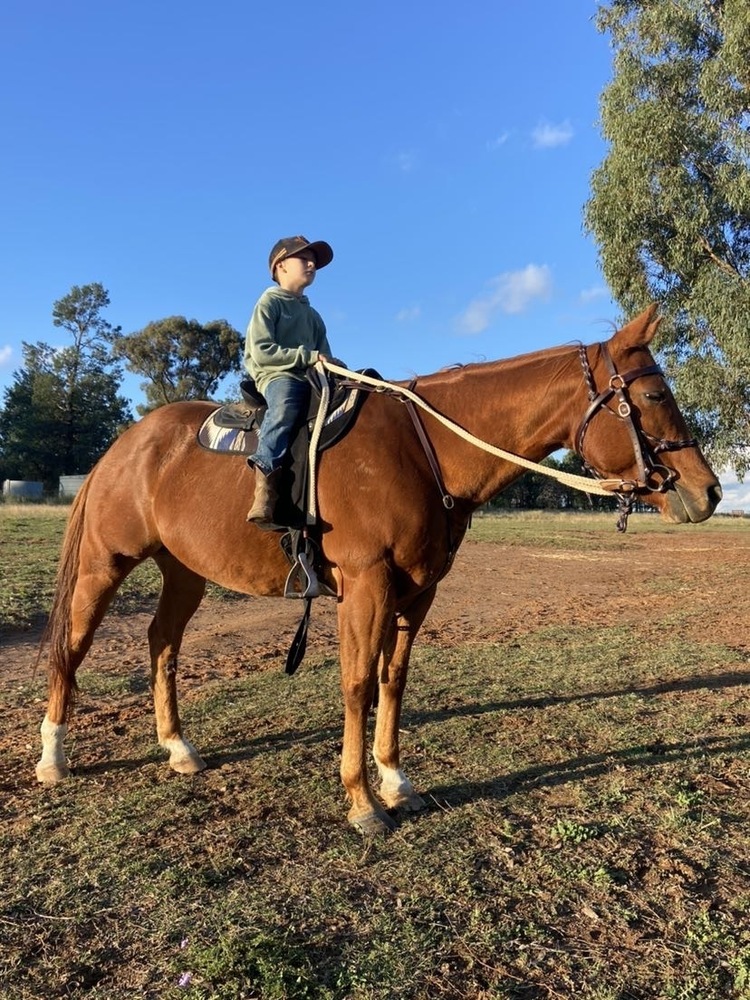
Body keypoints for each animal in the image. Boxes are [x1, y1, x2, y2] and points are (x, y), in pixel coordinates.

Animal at [35, 304, 722, 834]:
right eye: (654, 395)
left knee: (163, 644)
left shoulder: (417, 592)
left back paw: (177, 746)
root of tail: (127, 444)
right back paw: (54, 757)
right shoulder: (365, 586)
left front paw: (394, 781)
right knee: (72, 646)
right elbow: (358, 684)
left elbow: (393, 680)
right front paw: (362, 801)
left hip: (183, 572)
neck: (424, 450)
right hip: (104, 564)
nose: (710, 491)